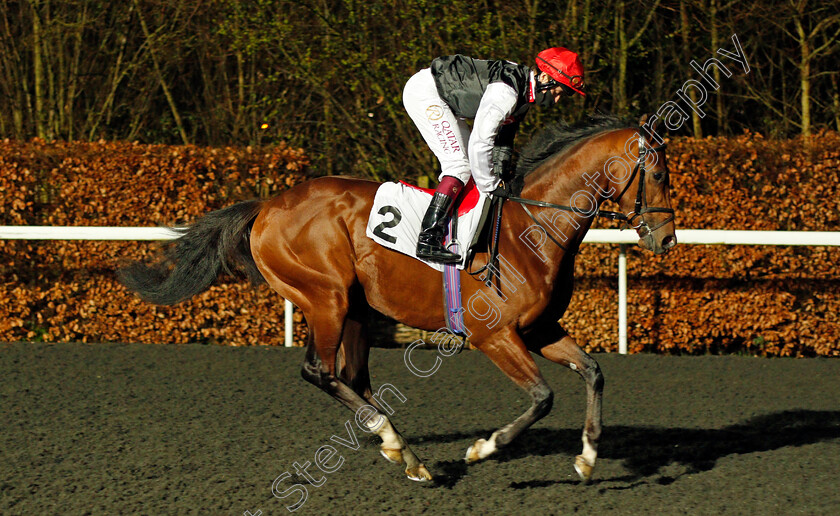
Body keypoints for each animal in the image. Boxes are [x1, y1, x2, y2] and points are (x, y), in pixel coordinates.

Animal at [121, 113, 680, 484]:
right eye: (656, 172)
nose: (667, 239)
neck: (533, 227)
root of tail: (268, 205)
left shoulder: (540, 330)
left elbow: (593, 371)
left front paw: (587, 456)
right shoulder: (493, 335)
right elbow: (542, 397)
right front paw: (483, 449)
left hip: (354, 311)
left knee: (350, 377)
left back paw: (401, 450)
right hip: (326, 297)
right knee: (319, 371)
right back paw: (395, 443)